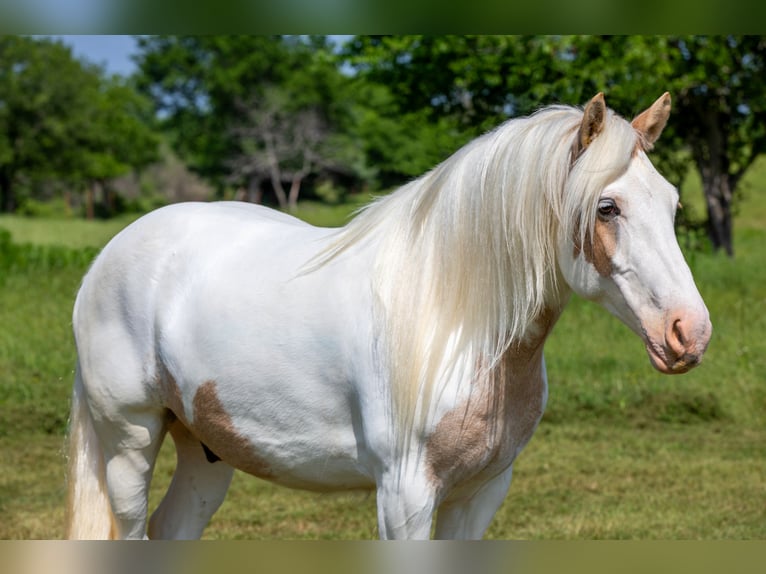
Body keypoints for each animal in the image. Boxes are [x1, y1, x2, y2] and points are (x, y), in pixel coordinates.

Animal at [64, 92, 712, 544]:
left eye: (674, 203)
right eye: (607, 207)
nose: (690, 332)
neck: (453, 320)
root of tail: (107, 257)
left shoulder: (481, 493)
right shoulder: (405, 496)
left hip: (206, 449)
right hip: (130, 442)